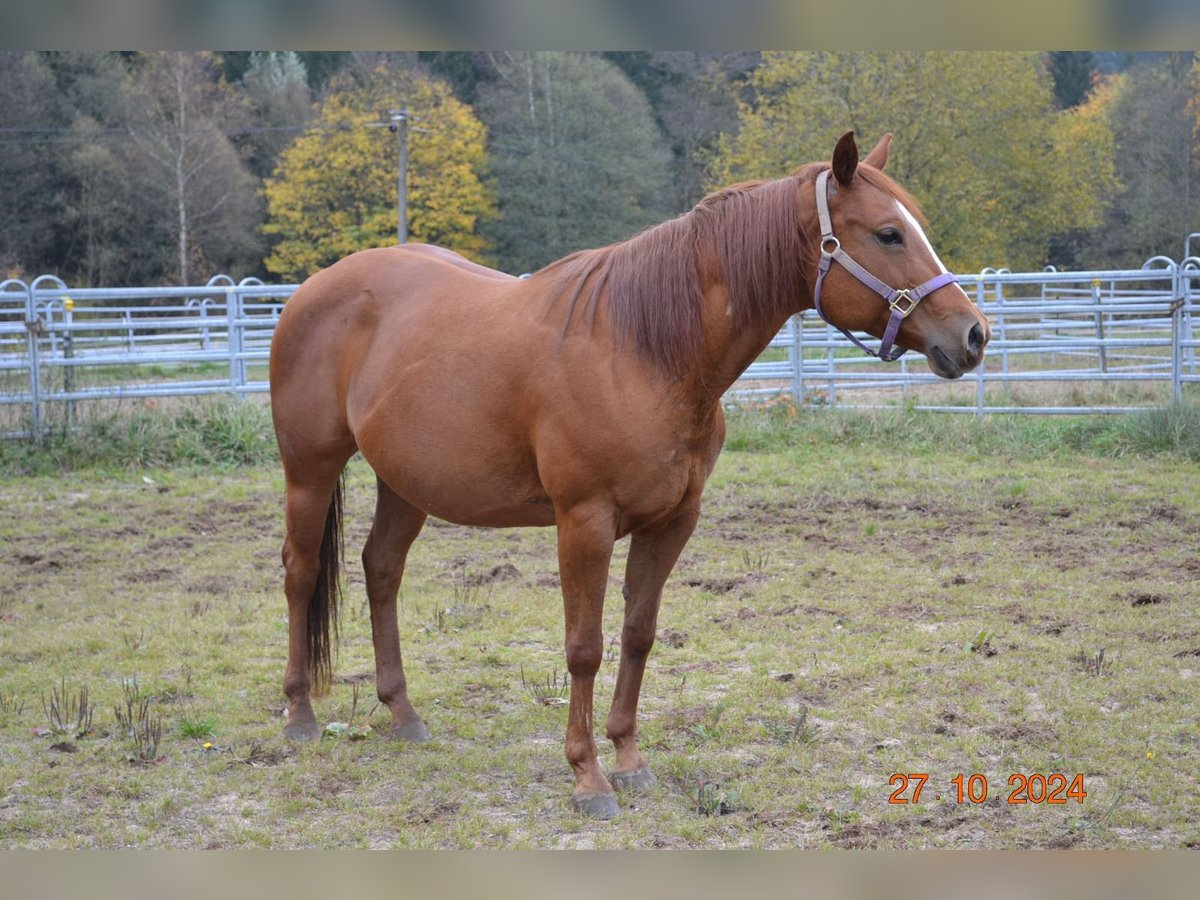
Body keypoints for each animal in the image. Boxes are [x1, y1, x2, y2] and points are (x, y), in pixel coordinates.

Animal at [267, 132, 988, 816]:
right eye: (888, 233)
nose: (974, 335)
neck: (644, 350)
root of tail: (312, 289)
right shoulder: (583, 523)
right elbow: (584, 647)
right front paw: (587, 778)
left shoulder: (671, 522)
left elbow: (638, 634)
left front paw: (630, 760)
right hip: (309, 471)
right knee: (301, 574)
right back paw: (299, 715)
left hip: (404, 482)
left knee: (382, 569)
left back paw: (403, 714)